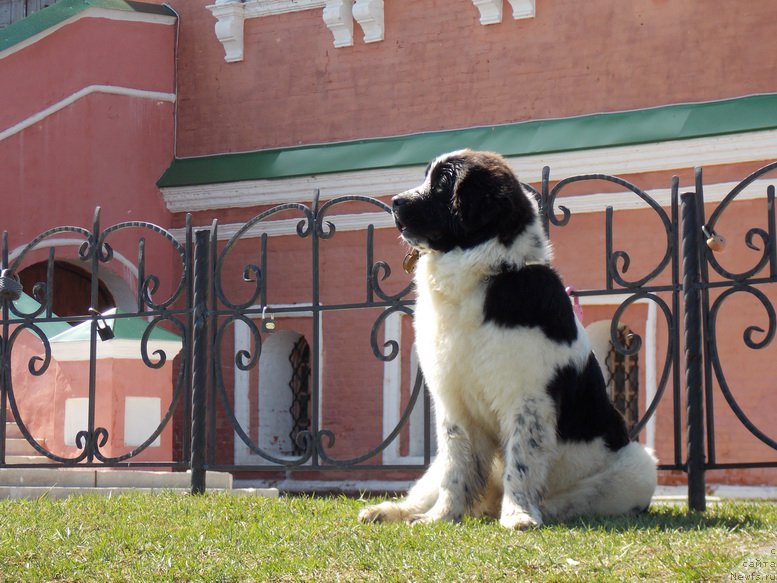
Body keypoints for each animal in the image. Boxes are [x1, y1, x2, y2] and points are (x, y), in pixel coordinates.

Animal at [358, 149, 656, 528]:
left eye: (443, 183)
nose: (396, 202)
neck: (483, 275)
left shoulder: (527, 398)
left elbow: (521, 460)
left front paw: (518, 515)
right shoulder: (453, 402)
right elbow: (456, 466)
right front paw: (442, 517)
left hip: (639, 468)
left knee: (581, 496)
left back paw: (546, 509)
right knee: (427, 486)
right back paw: (388, 511)